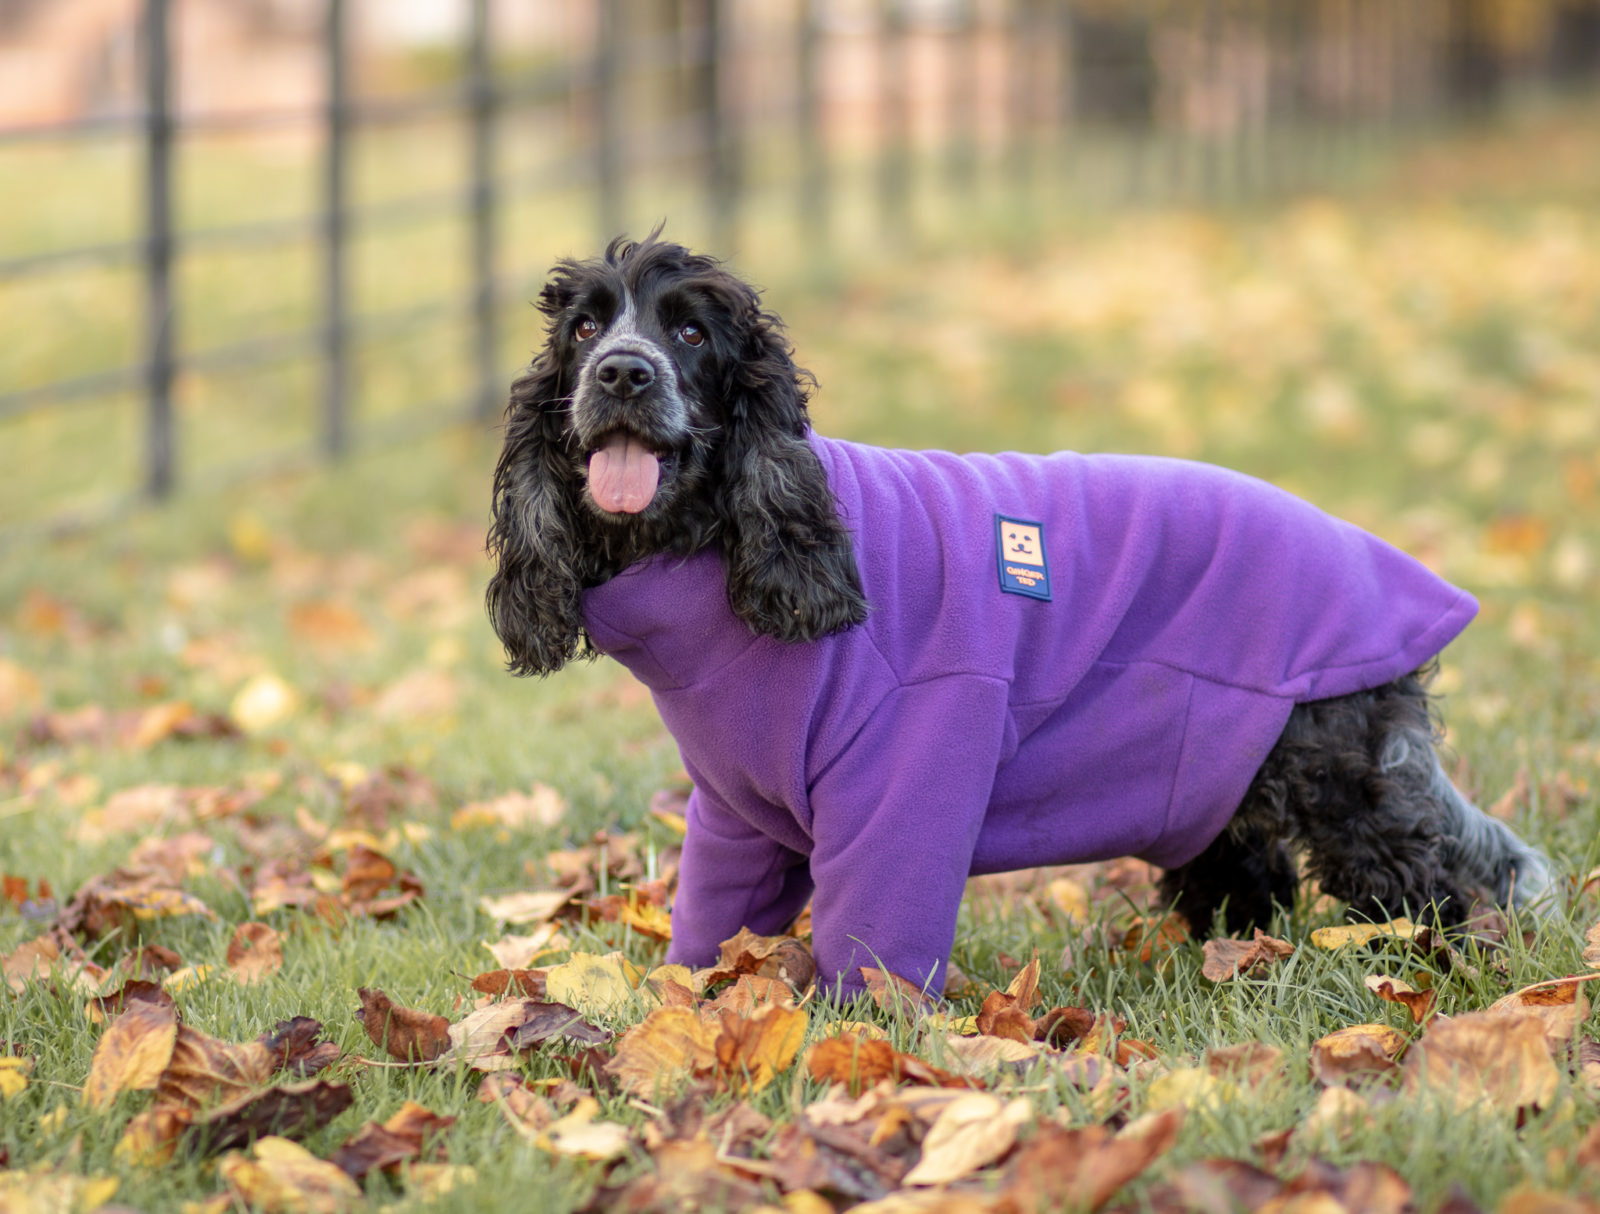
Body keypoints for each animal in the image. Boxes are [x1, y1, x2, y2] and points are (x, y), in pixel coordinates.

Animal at [483, 235, 1548, 998]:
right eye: (585, 329)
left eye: (693, 334)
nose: (623, 373)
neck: (718, 548)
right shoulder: (733, 814)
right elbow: (710, 928)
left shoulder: (907, 774)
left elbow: (876, 935)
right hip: (1222, 772)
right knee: (1249, 872)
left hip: (1344, 768)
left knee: (1429, 879)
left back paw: (1427, 973)